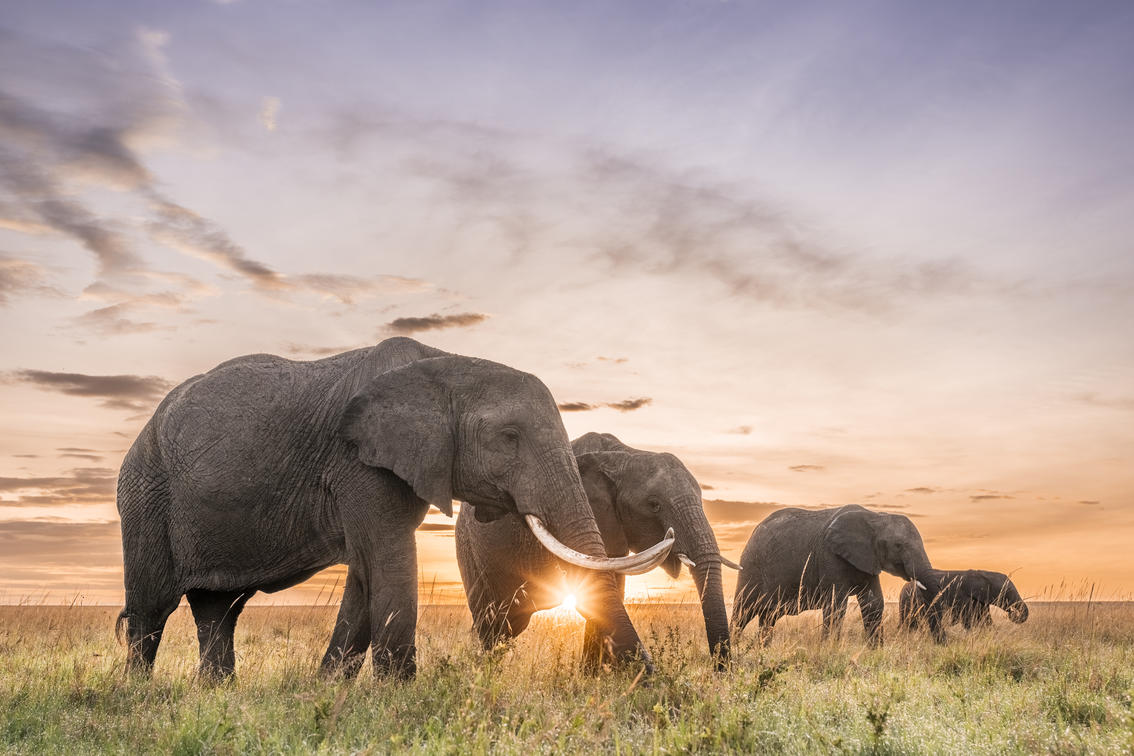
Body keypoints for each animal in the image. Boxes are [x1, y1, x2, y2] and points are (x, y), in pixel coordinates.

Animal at [115, 337, 673, 679]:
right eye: (509, 437)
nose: (650, 685)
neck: (445, 363)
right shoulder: (358, 461)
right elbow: (387, 560)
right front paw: (399, 696)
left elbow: (365, 574)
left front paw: (327, 688)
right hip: (146, 493)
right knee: (151, 610)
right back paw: (139, 695)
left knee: (219, 611)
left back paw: (217, 695)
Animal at [455, 432, 740, 670]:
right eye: (654, 504)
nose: (720, 672)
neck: (623, 457)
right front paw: (592, 676)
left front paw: (592, 675)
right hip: (469, 550)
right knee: (493, 622)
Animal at [732, 504, 943, 646]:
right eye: (898, 545)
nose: (942, 643)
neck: (875, 517)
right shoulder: (829, 556)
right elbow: (836, 605)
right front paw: (829, 648)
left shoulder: (868, 559)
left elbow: (873, 603)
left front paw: (876, 650)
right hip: (751, 567)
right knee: (743, 611)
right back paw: (733, 647)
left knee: (768, 617)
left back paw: (763, 649)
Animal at [899, 569, 1028, 632]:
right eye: (1007, 592)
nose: (1011, 612)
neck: (983, 574)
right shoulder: (962, 595)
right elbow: (967, 618)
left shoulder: (981, 600)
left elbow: (986, 618)